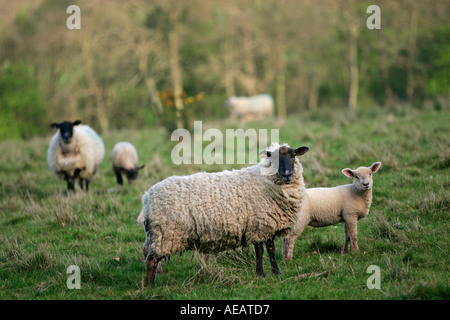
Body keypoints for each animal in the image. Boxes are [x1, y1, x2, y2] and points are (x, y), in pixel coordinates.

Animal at [137, 142, 310, 288]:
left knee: (148, 255)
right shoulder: (258, 225)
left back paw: (149, 283)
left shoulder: (267, 225)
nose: (287, 174)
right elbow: (260, 251)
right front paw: (261, 274)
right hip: (166, 234)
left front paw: (276, 273)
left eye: (293, 155)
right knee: (151, 259)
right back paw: (150, 287)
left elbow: (271, 250)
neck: (265, 181)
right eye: (274, 158)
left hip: (156, 235)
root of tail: (147, 198)